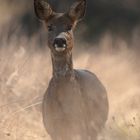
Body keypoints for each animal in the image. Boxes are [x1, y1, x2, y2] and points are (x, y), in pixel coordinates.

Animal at [33, 0, 108, 139]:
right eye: (49, 27)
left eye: (69, 26)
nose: (60, 40)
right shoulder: (53, 128)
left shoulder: (82, 126)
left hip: (95, 127)